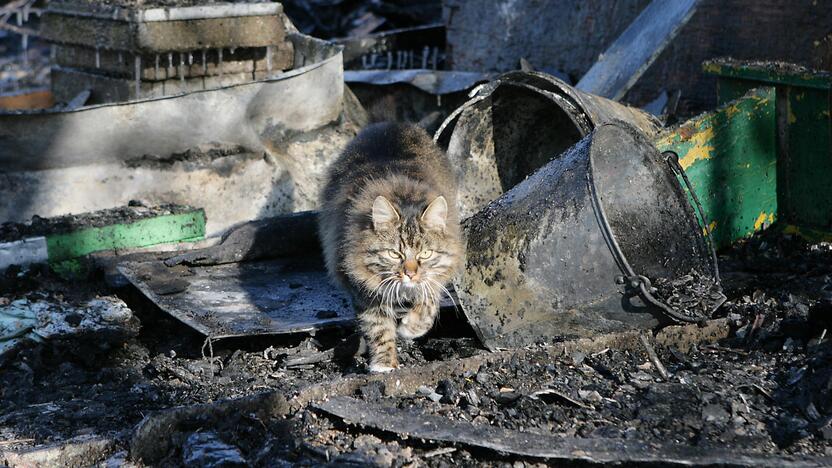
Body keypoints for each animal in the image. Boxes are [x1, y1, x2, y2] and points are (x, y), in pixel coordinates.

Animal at [318, 121, 464, 372]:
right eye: (394, 254)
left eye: (425, 253)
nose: (410, 274)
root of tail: (394, 123)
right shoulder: (364, 291)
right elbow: (379, 330)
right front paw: (384, 363)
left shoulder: (434, 280)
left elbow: (428, 305)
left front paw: (410, 328)